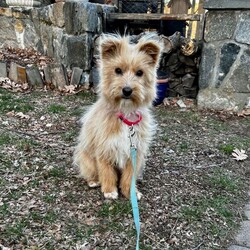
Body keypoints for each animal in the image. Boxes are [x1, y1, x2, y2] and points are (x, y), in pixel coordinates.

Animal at [73, 33, 162, 201]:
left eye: (139, 72)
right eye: (118, 70)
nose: (127, 90)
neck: (125, 114)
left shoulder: (135, 153)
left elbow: (129, 176)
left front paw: (130, 191)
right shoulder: (104, 148)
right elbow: (106, 172)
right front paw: (109, 190)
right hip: (87, 159)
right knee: (90, 172)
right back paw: (93, 181)